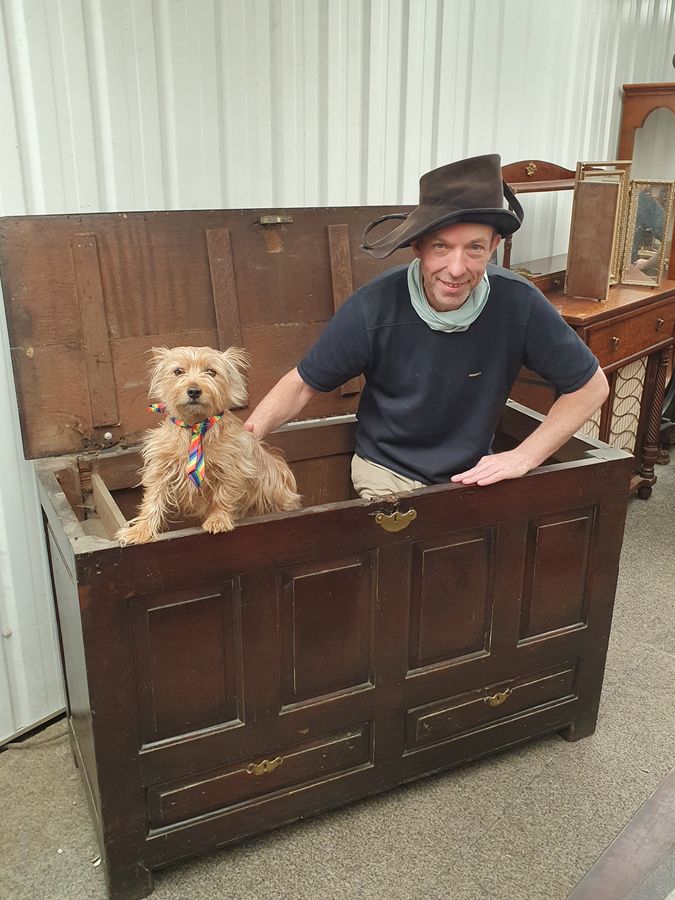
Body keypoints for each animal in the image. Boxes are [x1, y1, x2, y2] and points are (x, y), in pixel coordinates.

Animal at [117, 344, 300, 544]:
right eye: (178, 371)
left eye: (211, 372)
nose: (194, 391)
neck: (195, 426)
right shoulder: (161, 468)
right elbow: (152, 499)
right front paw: (141, 530)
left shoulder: (232, 467)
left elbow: (223, 494)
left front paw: (218, 520)